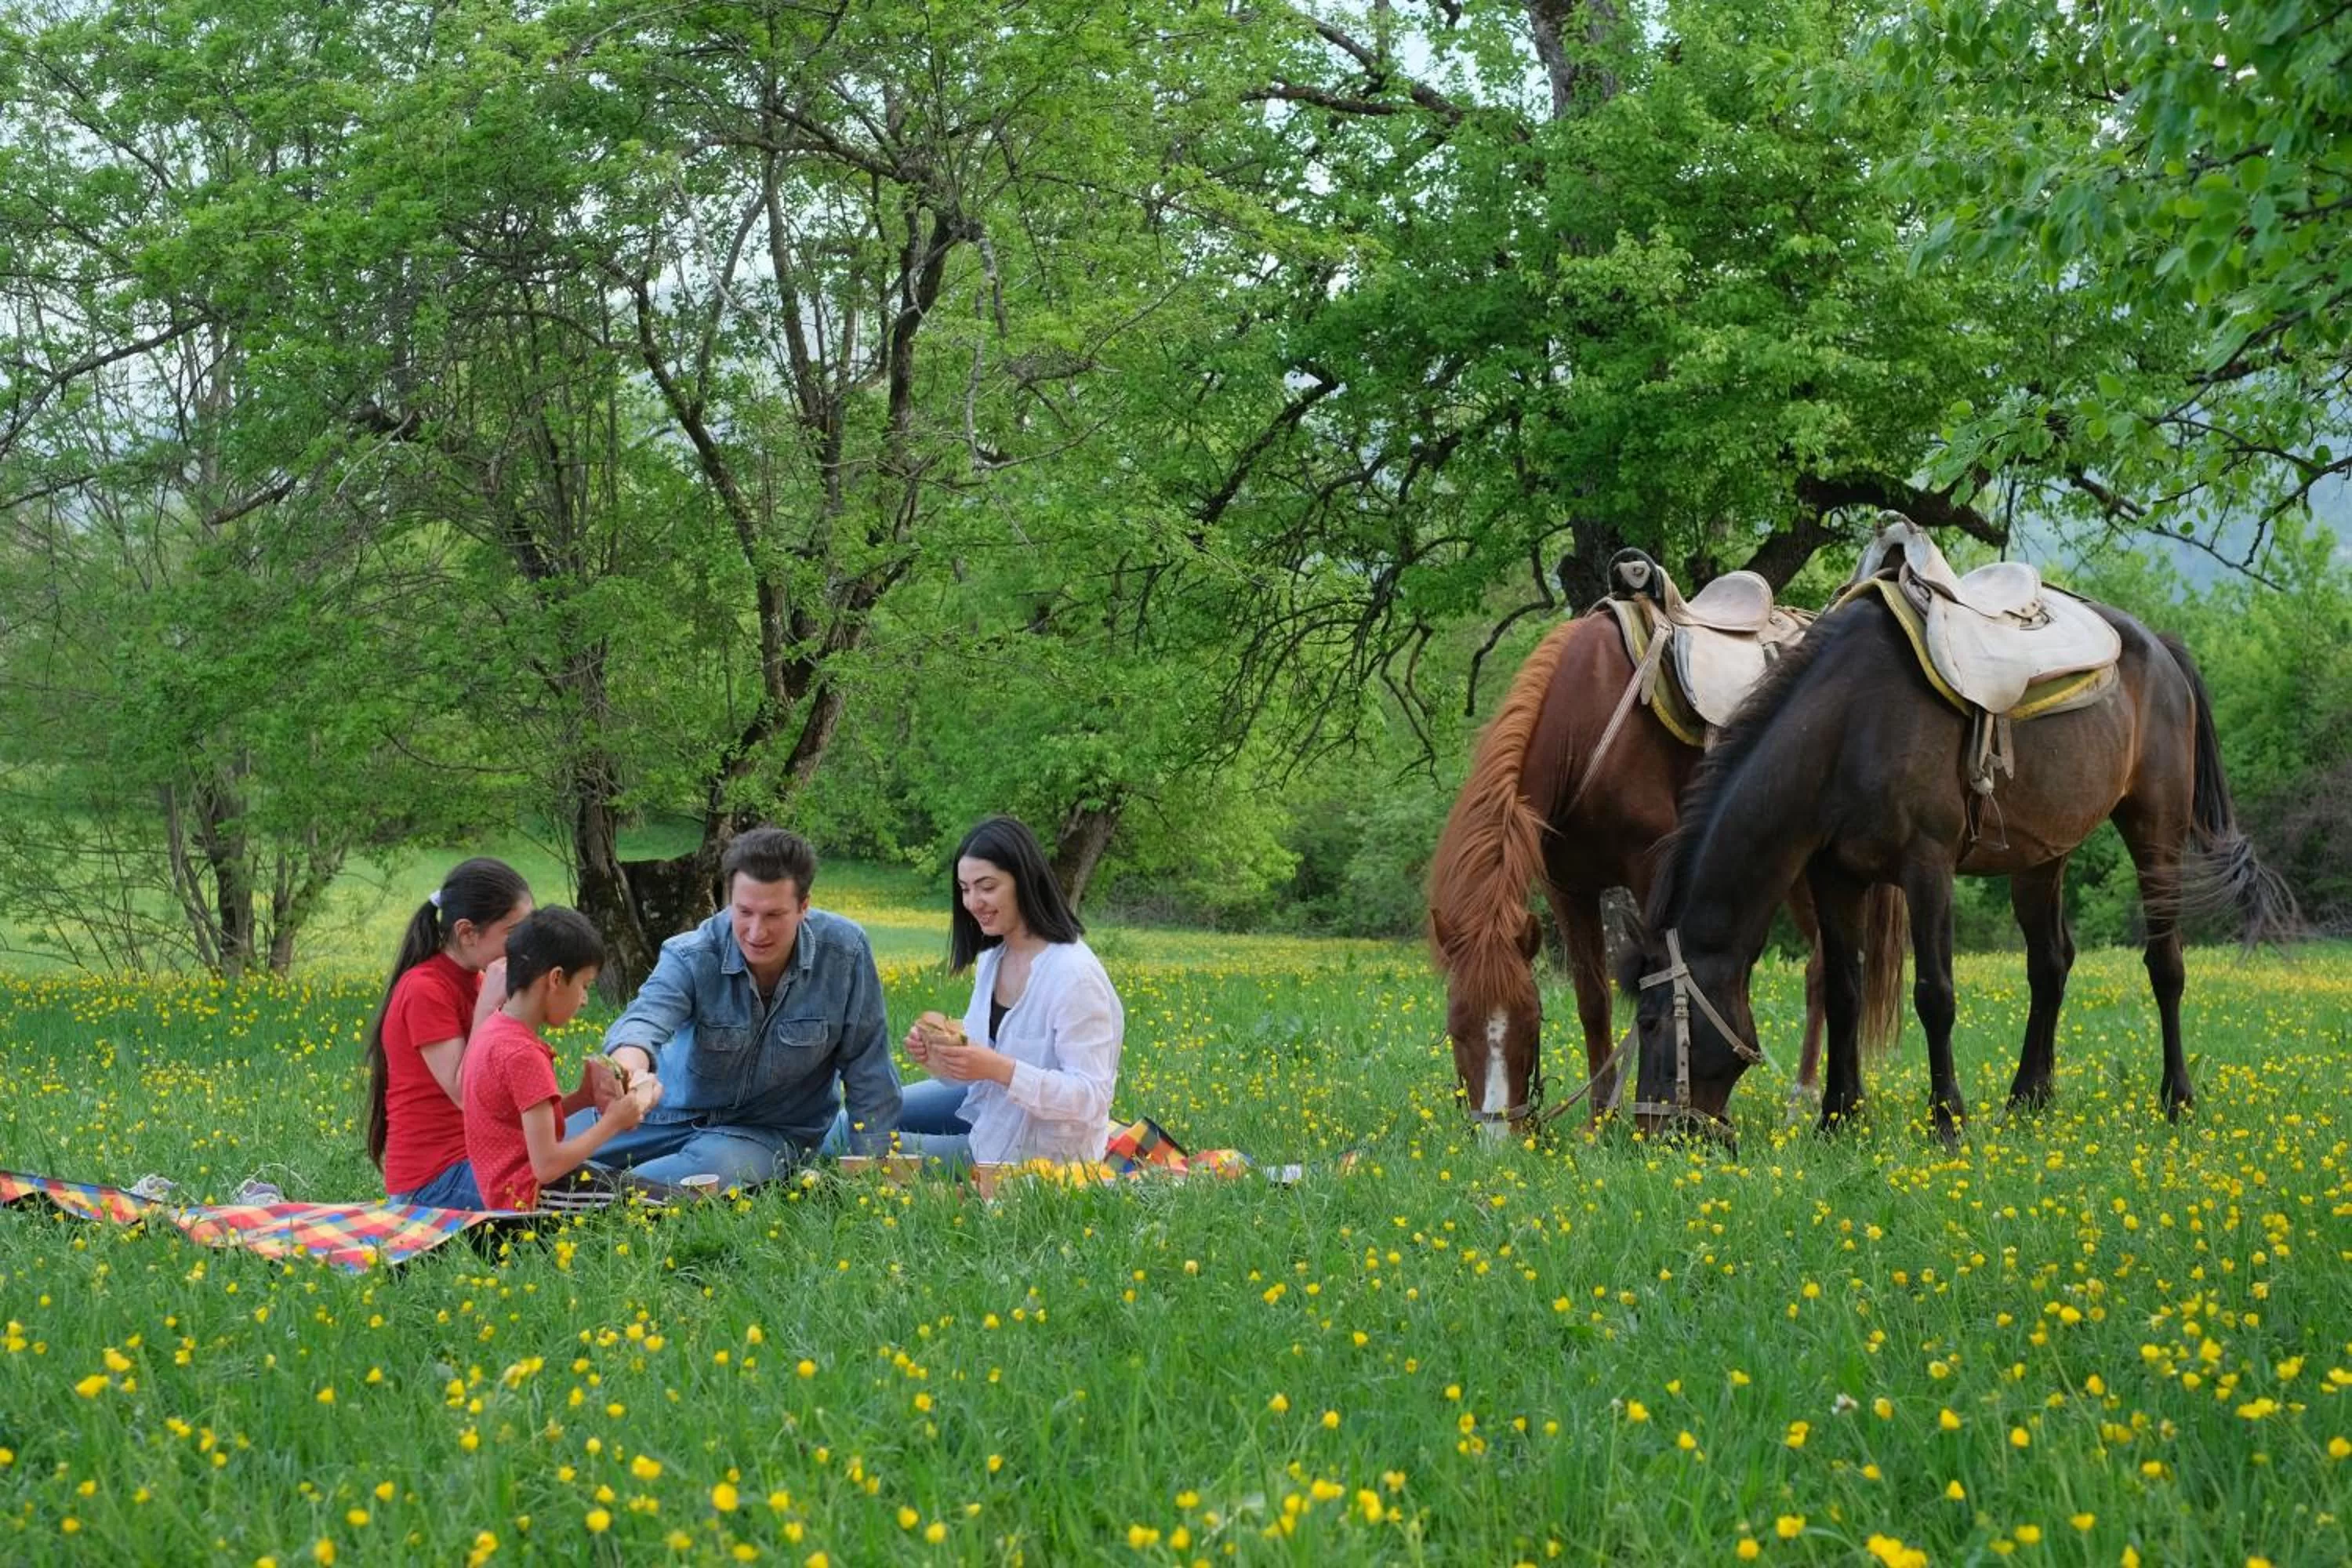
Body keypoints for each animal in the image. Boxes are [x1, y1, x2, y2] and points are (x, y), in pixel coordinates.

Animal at [1428, 595, 1905, 1139]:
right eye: (1455, 1029)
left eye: (1531, 1023)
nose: (1497, 1139)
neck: (1580, 725)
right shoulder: (1568, 890)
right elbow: (1593, 1001)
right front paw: (1600, 1120)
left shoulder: (1650, 869)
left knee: (1826, 968)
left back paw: (1802, 1099)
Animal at [1622, 572, 2295, 1147]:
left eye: (1653, 1022)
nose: (1652, 1133)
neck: (1848, 721)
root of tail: (2162, 649)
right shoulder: (1835, 876)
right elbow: (1843, 993)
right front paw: (1839, 1118)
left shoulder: (1928, 867)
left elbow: (1935, 995)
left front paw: (1947, 1120)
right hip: (2040, 857)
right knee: (2050, 965)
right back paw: (2027, 1099)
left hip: (2156, 831)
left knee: (2165, 966)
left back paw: (2177, 1099)